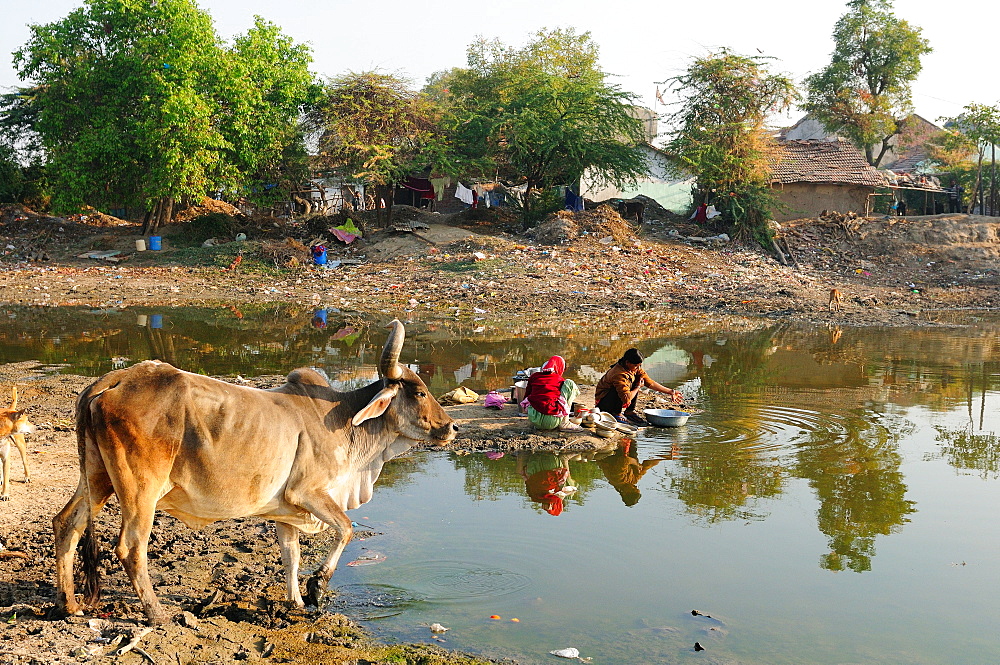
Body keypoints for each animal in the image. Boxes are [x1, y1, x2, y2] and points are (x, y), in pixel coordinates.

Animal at [53, 320, 458, 624]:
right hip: (140, 488)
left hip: (98, 477)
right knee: (130, 546)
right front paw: (317, 587)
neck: (346, 421)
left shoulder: (286, 511)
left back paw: (70, 604)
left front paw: (296, 602)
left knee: (67, 523)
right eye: (419, 392)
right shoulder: (309, 493)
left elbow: (291, 555)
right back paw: (158, 615)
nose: (452, 427)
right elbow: (345, 529)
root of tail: (112, 380)